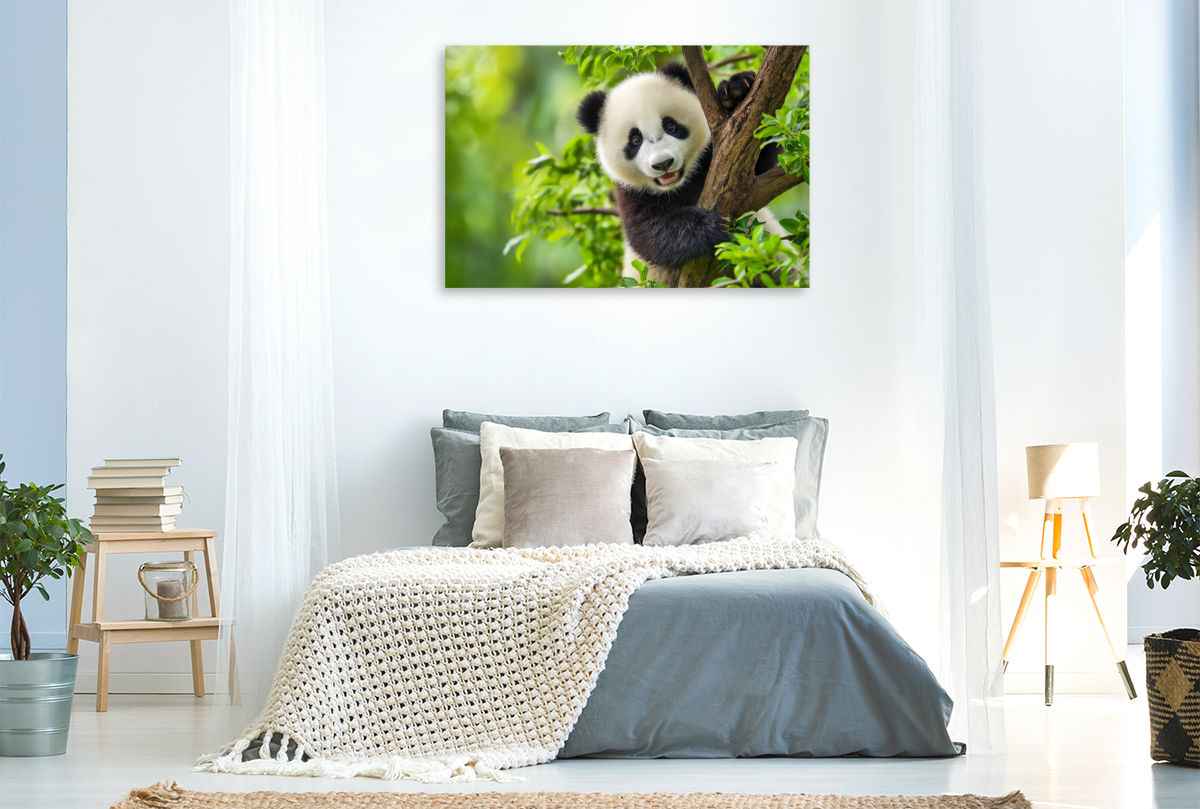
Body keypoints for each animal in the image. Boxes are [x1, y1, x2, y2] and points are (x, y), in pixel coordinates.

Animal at [576, 61, 780, 284]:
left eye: (671, 126)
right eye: (635, 140)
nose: (663, 163)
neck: (680, 186)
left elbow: (759, 159)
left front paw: (737, 90)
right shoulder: (632, 194)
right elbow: (649, 233)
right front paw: (711, 227)